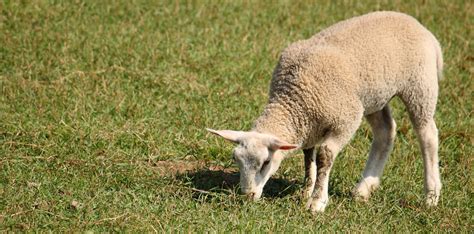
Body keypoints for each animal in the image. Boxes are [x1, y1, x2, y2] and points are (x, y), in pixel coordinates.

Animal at [206, 11, 442, 212]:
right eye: (236, 159)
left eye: (266, 163)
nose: (247, 196)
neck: (293, 100)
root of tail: (420, 27)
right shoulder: (310, 125)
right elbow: (307, 155)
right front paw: (306, 190)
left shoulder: (345, 120)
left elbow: (324, 156)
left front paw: (317, 201)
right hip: (373, 96)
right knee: (386, 132)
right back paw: (364, 189)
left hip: (420, 85)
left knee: (427, 135)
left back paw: (431, 195)